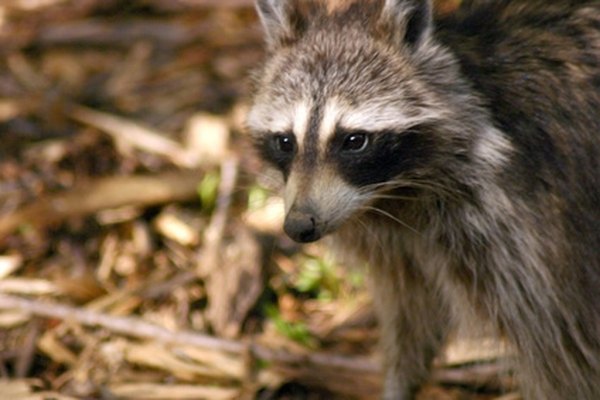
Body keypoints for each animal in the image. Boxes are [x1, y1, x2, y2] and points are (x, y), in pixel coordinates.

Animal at [247, 1, 600, 398]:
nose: (298, 225)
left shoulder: (536, 239)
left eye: (354, 141)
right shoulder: (403, 248)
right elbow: (411, 321)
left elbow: (566, 356)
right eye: (285, 141)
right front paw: (399, 383)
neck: (395, 195)